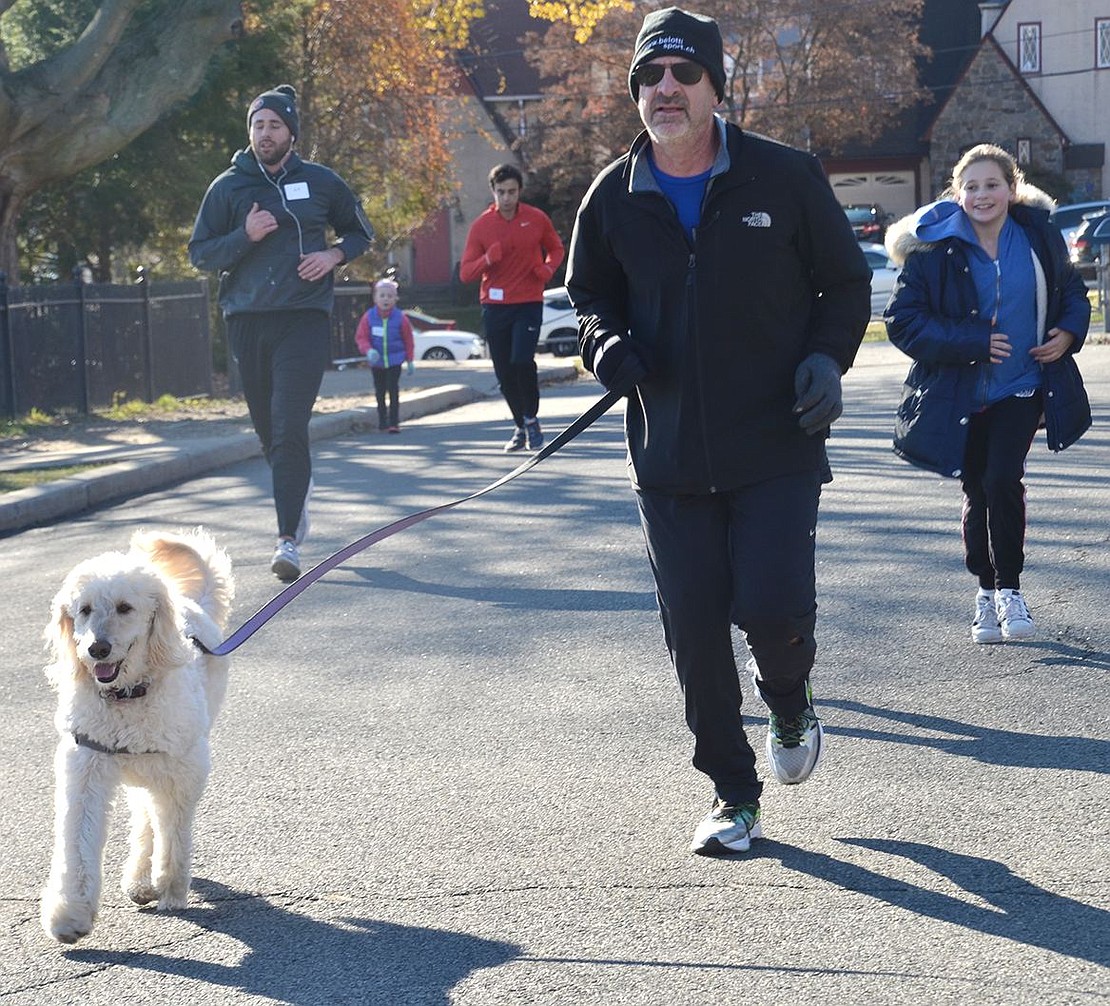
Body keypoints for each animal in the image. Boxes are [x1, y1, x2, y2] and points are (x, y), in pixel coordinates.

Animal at [41, 526, 234, 941]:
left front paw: (172, 888)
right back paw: (139, 881)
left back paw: (152, 882)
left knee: (153, 818)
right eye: (84, 609)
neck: (126, 696)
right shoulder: (86, 767)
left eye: (125, 608)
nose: (97, 649)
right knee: (144, 815)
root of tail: (193, 604)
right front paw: (70, 914)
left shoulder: (181, 772)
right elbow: (77, 841)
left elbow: (173, 831)